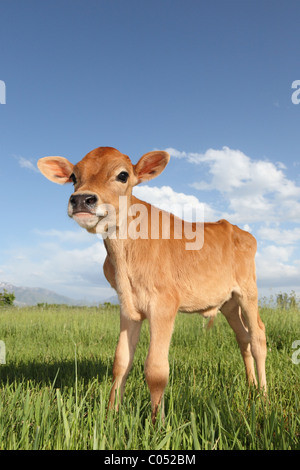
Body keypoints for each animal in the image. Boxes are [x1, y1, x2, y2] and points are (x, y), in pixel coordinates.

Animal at [38, 146, 268, 422]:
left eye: (123, 175)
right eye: (74, 176)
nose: (82, 200)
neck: (125, 256)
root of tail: (237, 229)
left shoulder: (164, 305)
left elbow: (156, 370)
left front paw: (157, 422)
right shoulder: (128, 306)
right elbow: (120, 362)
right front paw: (111, 414)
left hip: (248, 291)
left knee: (258, 337)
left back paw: (264, 397)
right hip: (228, 302)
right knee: (243, 338)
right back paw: (251, 387)